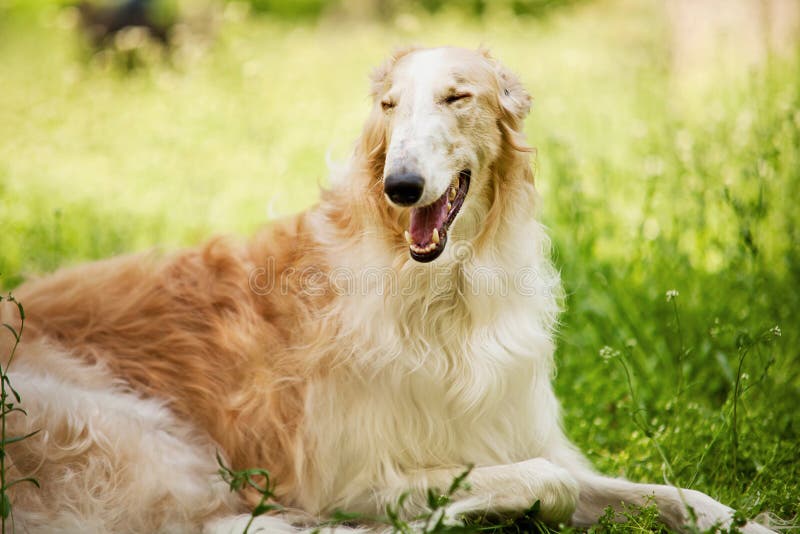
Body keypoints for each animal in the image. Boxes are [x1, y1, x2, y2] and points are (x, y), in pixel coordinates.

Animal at [1, 48, 776, 532]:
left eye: (457, 97)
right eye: (389, 105)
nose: (400, 186)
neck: (441, 294)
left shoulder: (507, 431)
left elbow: (668, 494)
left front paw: (743, 520)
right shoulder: (352, 477)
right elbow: (539, 482)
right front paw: (452, 515)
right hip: (134, 439)